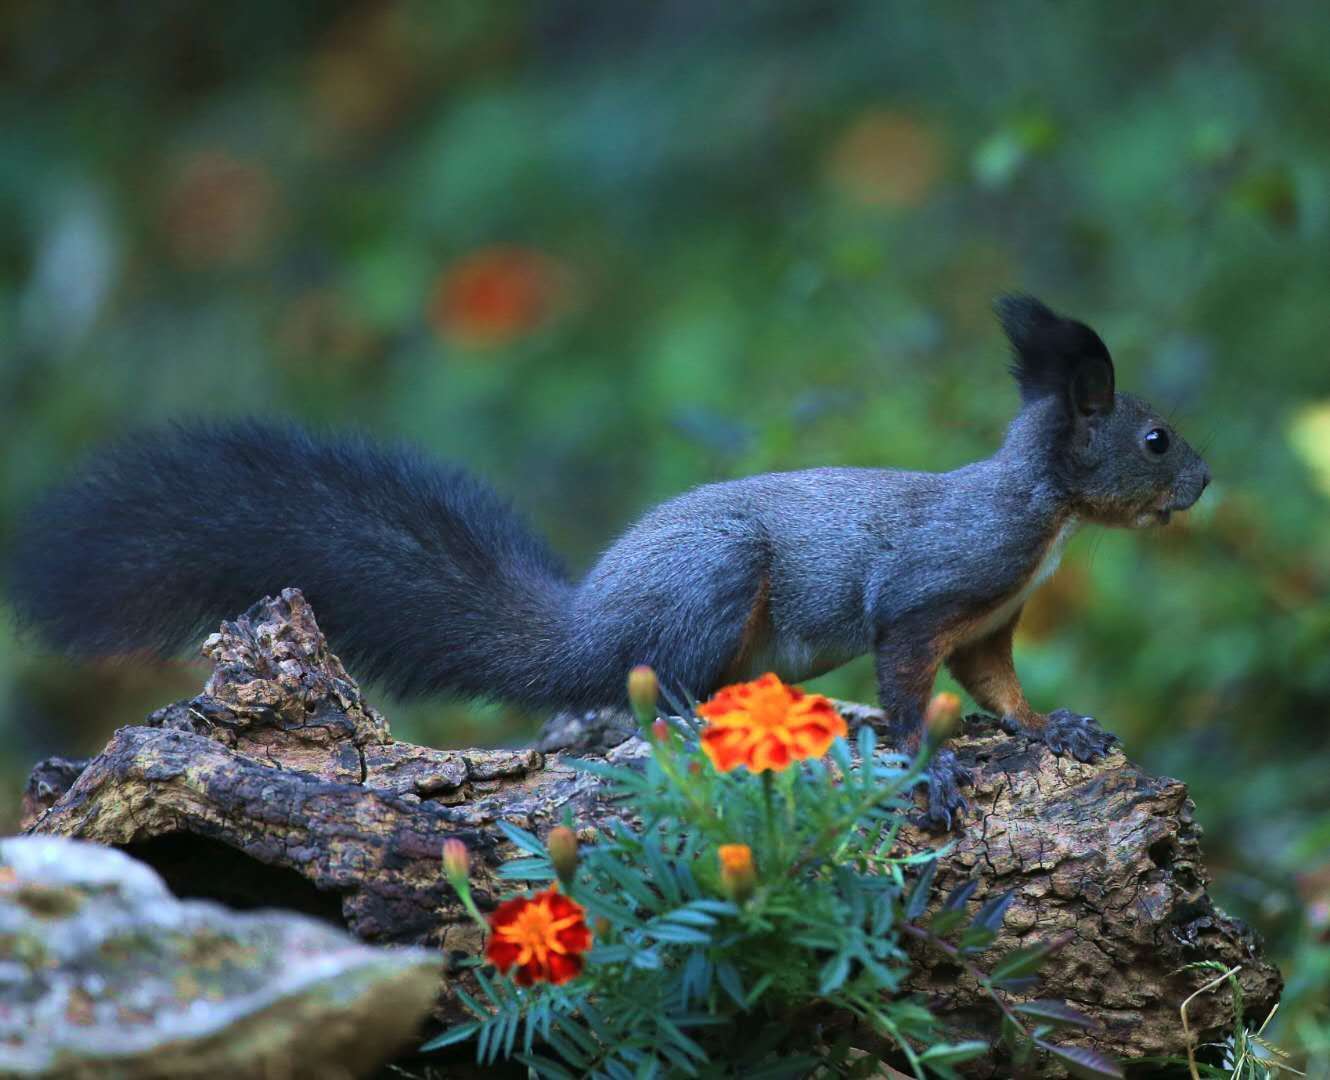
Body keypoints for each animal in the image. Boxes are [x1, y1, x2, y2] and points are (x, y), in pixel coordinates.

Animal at [5, 295, 1207, 824]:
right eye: (1154, 439)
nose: (1204, 481)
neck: (1039, 512)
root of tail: (591, 624)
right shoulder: (927, 593)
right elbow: (913, 678)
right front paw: (933, 770)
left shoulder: (990, 624)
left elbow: (998, 687)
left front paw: (1056, 730)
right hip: (714, 582)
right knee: (659, 688)